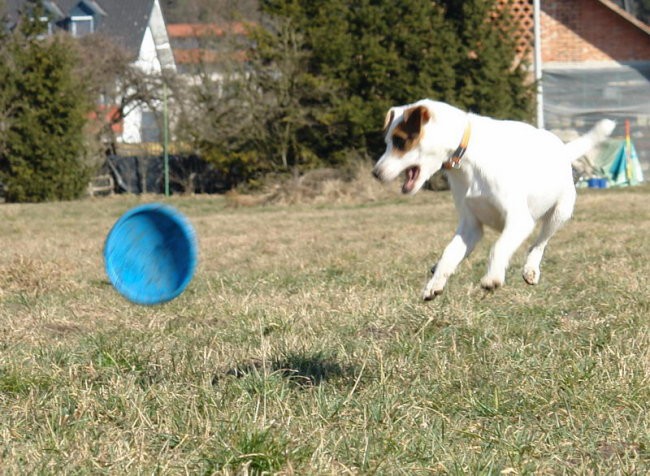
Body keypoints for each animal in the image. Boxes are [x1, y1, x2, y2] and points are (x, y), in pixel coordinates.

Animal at [372, 99, 612, 302]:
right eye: (387, 142)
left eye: (401, 141)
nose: (376, 173)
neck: (466, 159)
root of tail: (562, 148)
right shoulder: (470, 226)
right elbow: (450, 254)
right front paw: (434, 284)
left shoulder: (519, 221)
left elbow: (498, 247)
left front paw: (492, 278)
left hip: (560, 213)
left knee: (539, 243)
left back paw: (531, 269)